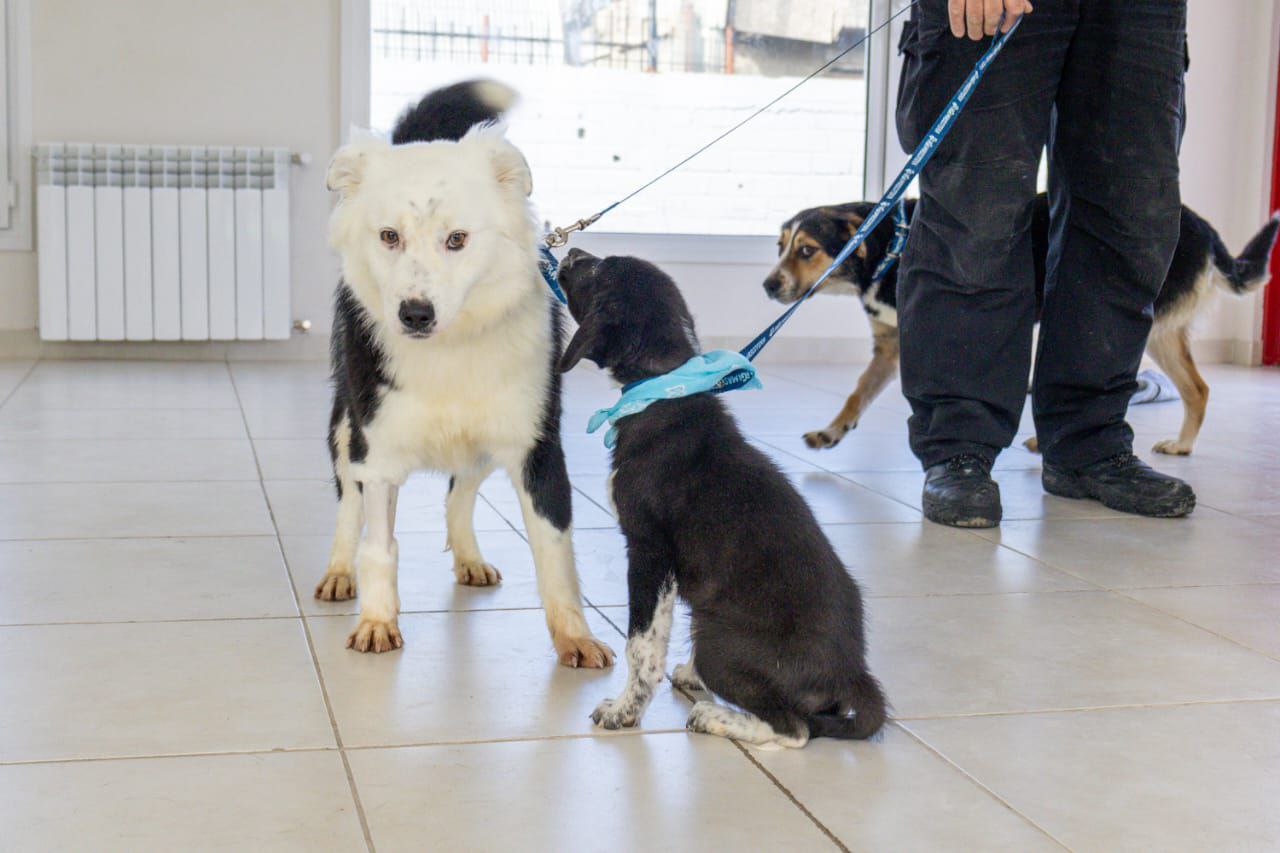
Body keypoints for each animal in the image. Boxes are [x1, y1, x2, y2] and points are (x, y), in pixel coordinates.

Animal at [312, 78, 611, 666]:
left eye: (457, 239)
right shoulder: (377, 447)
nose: (415, 314)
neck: (450, 349)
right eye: (389, 236)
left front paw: (574, 637)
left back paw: (469, 558)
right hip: (344, 427)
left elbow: (555, 552)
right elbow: (378, 543)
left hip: (484, 438)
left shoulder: (535, 445)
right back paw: (338, 570)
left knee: (460, 490)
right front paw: (377, 621)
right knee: (349, 506)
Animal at [555, 245, 885, 742]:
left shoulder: (649, 551)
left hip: (718, 638)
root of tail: (852, 673)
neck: (664, 392)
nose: (570, 251)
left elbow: (641, 644)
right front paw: (681, 677)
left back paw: (715, 716)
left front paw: (625, 710)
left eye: (598, 271)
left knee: (794, 729)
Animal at [768, 194, 1280, 455]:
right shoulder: (890, 345)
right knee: (1198, 388)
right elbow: (857, 394)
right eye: (779, 246)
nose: (768, 285)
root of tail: (1205, 228)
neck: (889, 239)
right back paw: (1182, 446)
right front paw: (833, 431)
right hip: (1162, 333)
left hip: (1135, 321)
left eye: (807, 250)